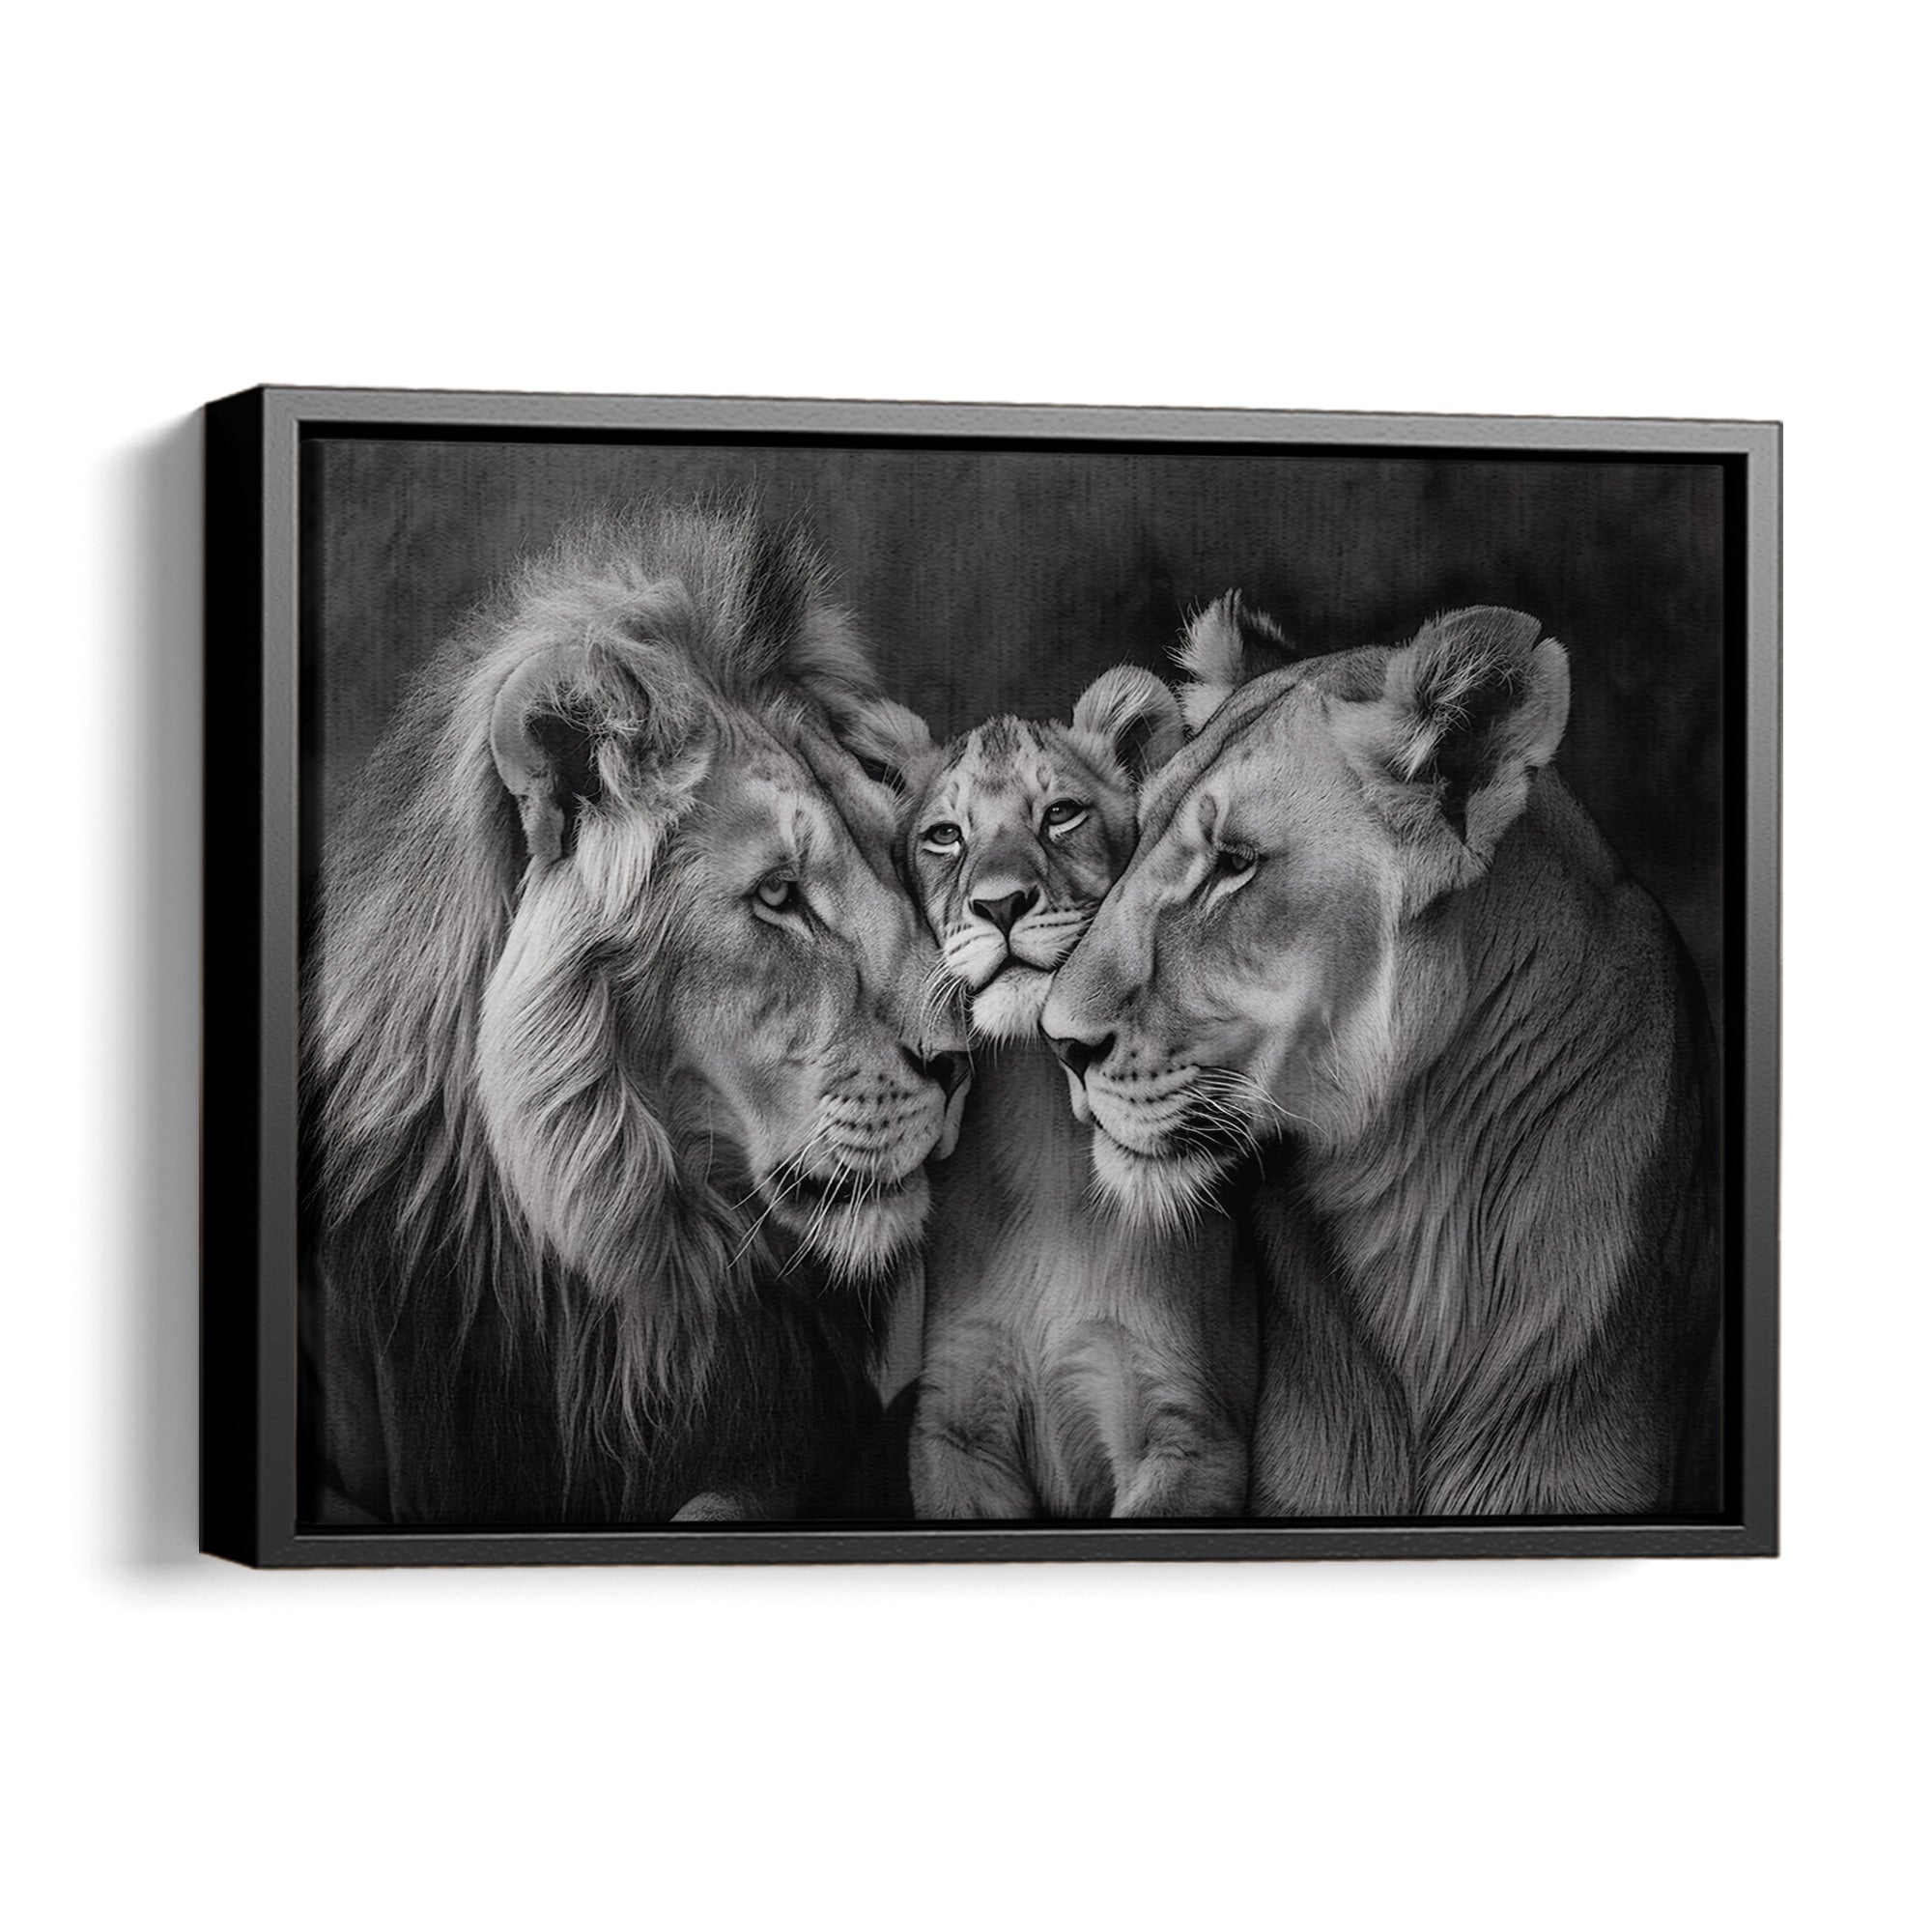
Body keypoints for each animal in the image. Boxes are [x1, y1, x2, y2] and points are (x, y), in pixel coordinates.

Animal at [855, 674, 1256, 1519]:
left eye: (1061, 813)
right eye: (946, 835)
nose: (1001, 904)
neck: (1039, 1124)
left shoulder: (1190, 1433)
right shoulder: (956, 1425)